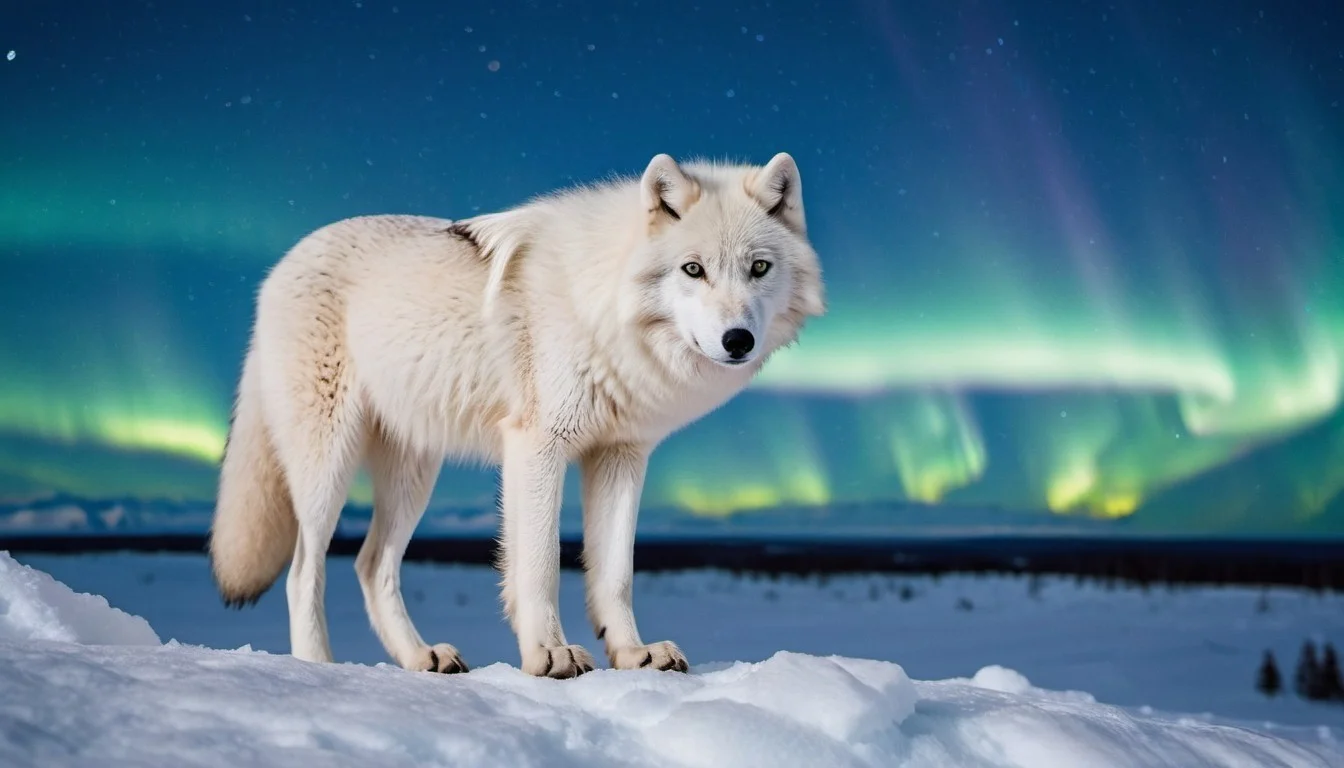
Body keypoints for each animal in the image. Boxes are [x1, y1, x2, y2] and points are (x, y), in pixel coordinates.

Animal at [207, 152, 826, 678]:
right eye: (693, 269)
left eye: (759, 268)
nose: (738, 340)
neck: (601, 304)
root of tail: (280, 266)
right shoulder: (538, 446)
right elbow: (539, 565)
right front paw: (549, 655)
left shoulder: (621, 456)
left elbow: (616, 574)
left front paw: (633, 654)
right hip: (327, 466)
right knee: (302, 571)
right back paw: (319, 668)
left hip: (414, 476)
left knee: (370, 565)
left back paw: (421, 657)